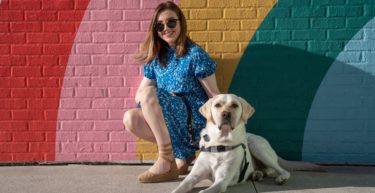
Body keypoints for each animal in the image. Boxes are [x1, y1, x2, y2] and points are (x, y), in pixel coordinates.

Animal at [172, 94, 324, 193]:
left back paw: (280, 178)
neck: (220, 143)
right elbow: (180, 187)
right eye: (217, 105)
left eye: (234, 105)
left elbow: (204, 191)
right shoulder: (193, 176)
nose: (226, 114)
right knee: (267, 170)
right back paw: (257, 174)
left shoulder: (222, 180)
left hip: (256, 146)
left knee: (281, 170)